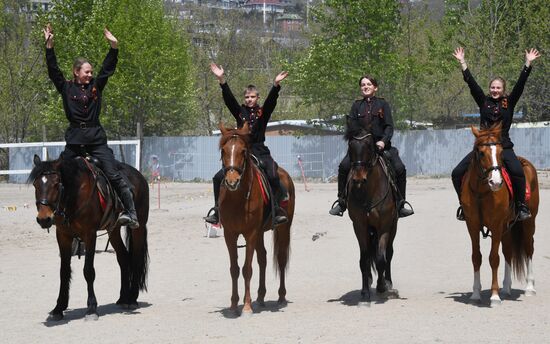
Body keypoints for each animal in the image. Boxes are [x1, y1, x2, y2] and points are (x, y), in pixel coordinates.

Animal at [28, 155, 149, 322]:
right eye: (35, 184)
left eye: (56, 184)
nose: (43, 219)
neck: (74, 196)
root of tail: (139, 176)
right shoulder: (63, 236)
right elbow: (64, 271)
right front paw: (58, 308)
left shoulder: (89, 234)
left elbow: (88, 271)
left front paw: (91, 308)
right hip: (113, 230)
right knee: (123, 258)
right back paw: (123, 298)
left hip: (139, 228)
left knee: (136, 259)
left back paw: (132, 299)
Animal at [217, 122, 296, 316]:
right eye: (223, 150)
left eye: (243, 151)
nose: (231, 181)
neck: (237, 199)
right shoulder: (230, 235)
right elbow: (234, 269)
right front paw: (233, 305)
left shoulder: (250, 234)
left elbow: (247, 268)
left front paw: (246, 306)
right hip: (260, 233)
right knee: (263, 258)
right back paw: (260, 297)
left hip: (283, 228)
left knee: (281, 259)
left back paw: (281, 296)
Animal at [348, 125, 398, 302]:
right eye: (350, 147)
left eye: (369, 147)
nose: (358, 179)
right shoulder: (359, 226)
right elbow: (364, 259)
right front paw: (365, 291)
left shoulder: (385, 226)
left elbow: (381, 258)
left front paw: (382, 286)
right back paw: (369, 280)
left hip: (393, 227)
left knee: (389, 252)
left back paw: (388, 282)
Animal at [464, 124, 540, 306]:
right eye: (481, 152)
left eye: (500, 153)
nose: (496, 182)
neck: (481, 192)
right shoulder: (472, 225)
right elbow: (476, 257)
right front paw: (475, 294)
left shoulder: (497, 225)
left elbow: (494, 258)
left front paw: (494, 296)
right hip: (507, 227)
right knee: (508, 251)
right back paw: (506, 287)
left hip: (529, 223)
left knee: (528, 248)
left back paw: (529, 288)